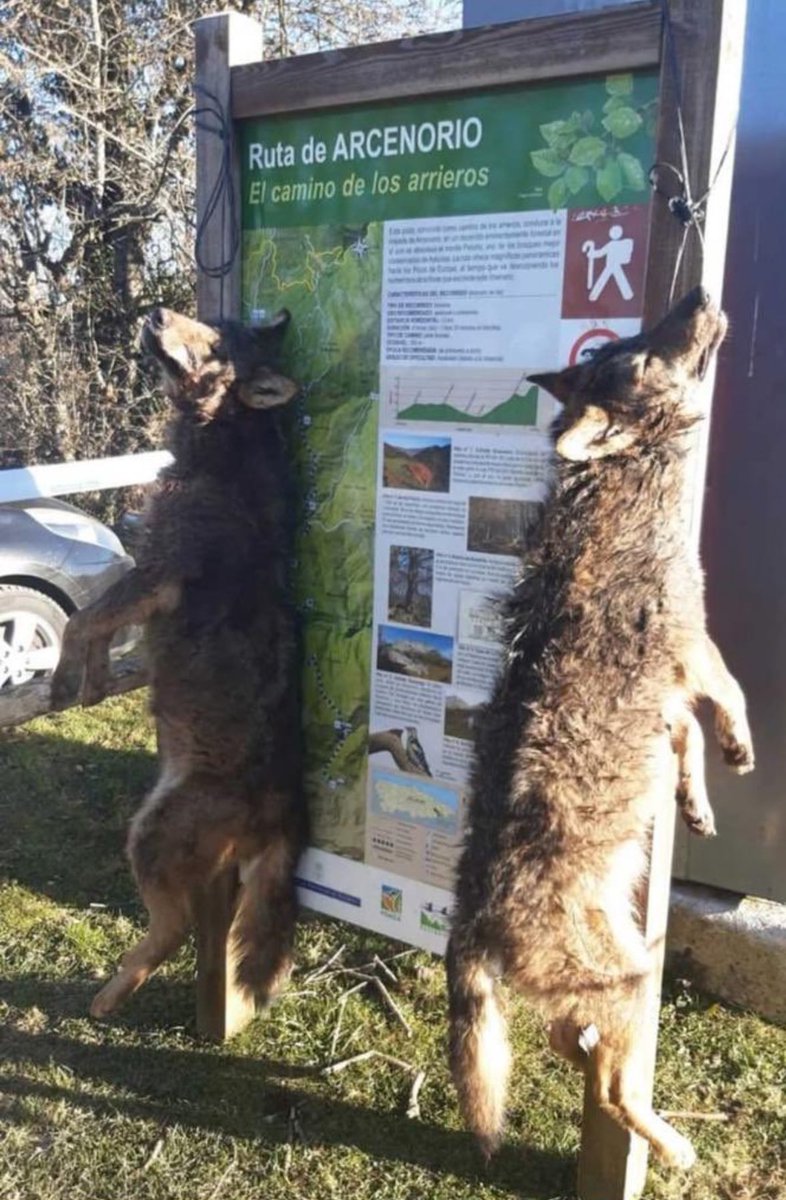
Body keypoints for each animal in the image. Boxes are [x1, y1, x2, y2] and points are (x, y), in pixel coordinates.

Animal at [50, 306, 307, 1019]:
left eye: (216, 344)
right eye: (216, 320)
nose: (158, 312)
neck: (221, 454)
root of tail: (285, 814)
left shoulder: (155, 577)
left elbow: (81, 620)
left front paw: (64, 680)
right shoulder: (141, 576)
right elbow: (97, 626)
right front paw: (93, 680)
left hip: (150, 836)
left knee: (174, 930)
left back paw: (106, 997)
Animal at [447, 287, 753, 1170]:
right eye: (643, 354)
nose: (697, 294)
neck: (623, 476)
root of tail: (469, 909)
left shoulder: (668, 690)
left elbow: (685, 741)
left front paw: (697, 802)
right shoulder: (692, 641)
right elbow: (731, 695)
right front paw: (742, 747)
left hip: (614, 979)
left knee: (565, 1045)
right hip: (631, 984)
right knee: (612, 1087)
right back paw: (673, 1146)